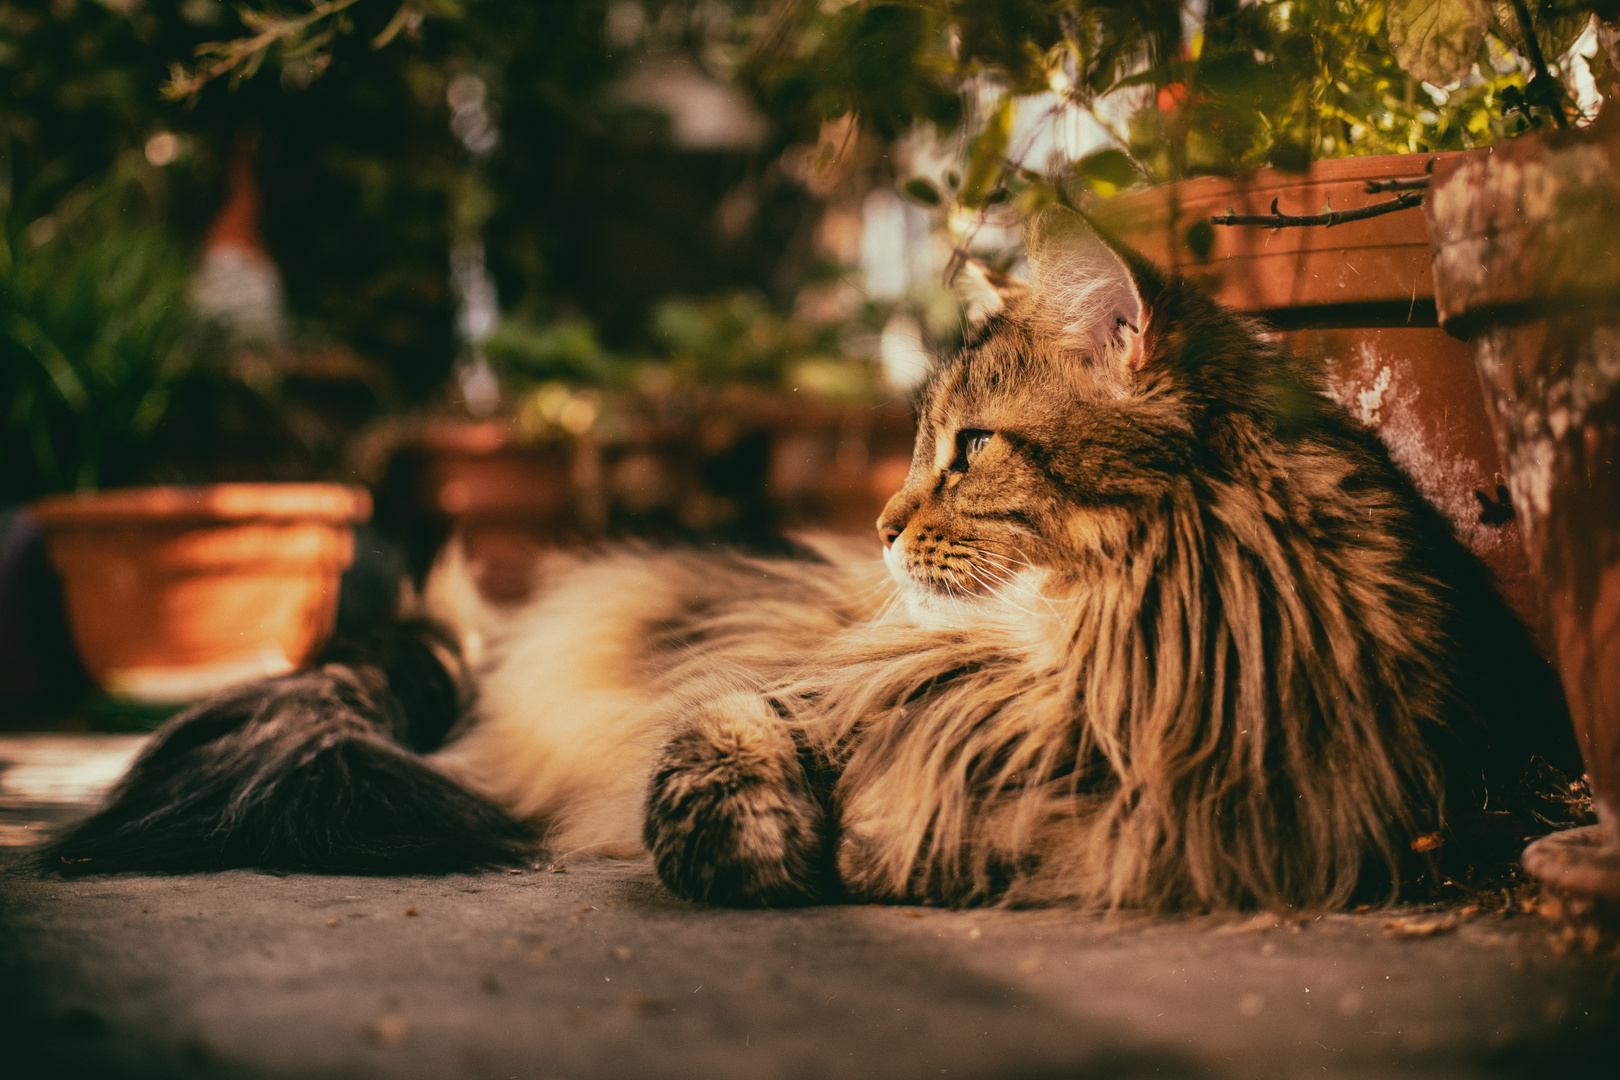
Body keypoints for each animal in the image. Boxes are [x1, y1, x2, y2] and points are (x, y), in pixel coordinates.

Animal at [47, 208, 1581, 913]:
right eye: (911, 451)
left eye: (969, 449)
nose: (883, 525)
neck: (1088, 663)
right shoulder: (793, 683)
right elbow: (716, 753)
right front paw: (769, 845)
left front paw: (884, 841)